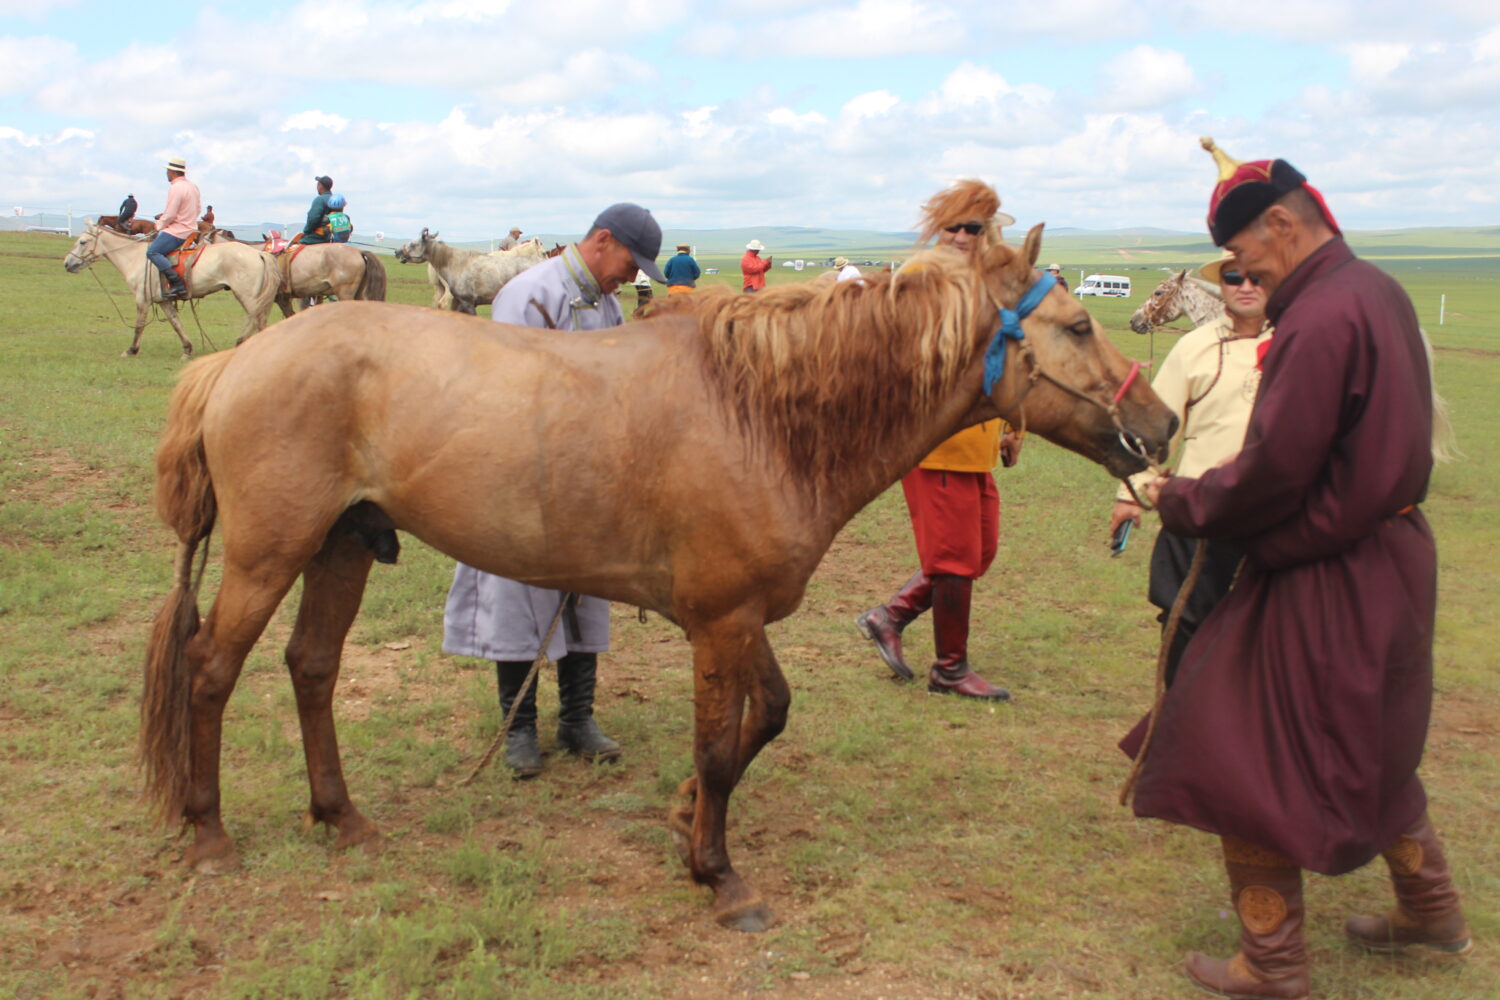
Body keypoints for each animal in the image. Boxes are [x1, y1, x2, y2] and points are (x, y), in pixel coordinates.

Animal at [64, 224, 282, 358]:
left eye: (82, 242)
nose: (67, 263)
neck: (135, 257)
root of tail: (260, 254)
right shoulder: (164, 301)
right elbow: (176, 323)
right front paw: (187, 350)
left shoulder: (142, 299)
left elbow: (139, 325)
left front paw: (131, 350)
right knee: (259, 321)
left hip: (247, 296)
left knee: (256, 320)